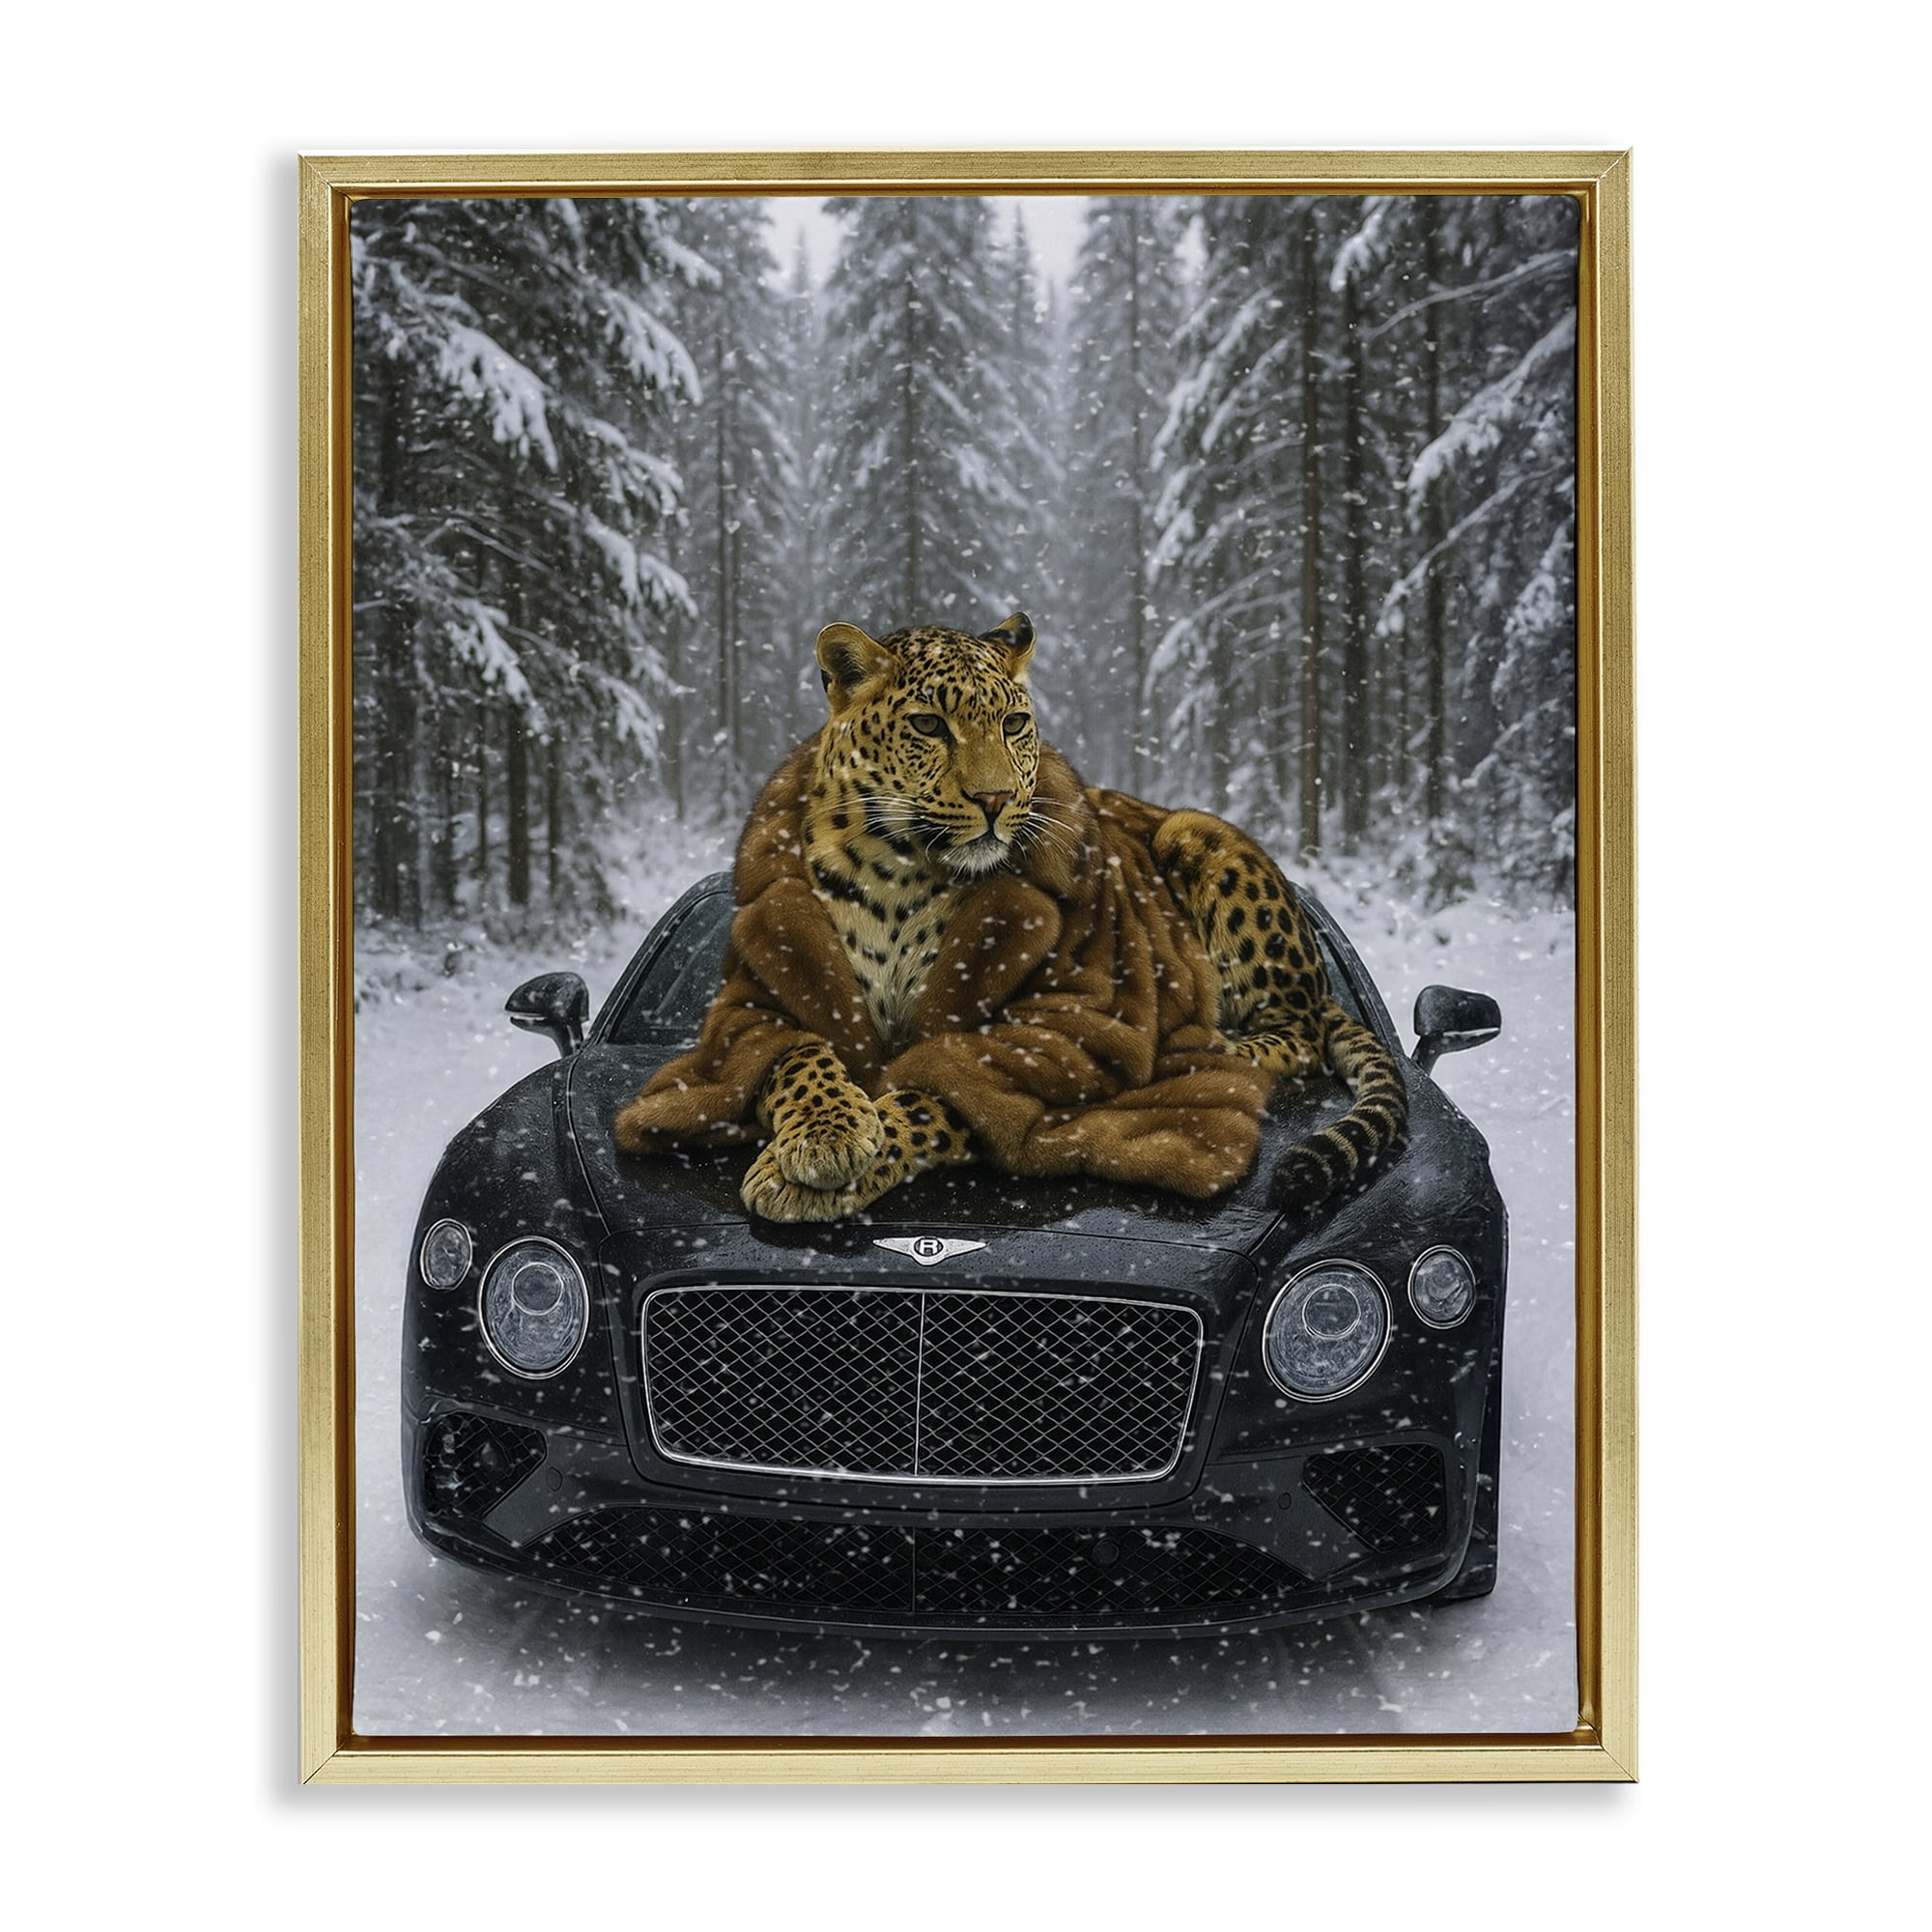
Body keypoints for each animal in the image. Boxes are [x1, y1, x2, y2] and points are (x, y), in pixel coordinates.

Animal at [614, 612, 1407, 1222]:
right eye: (928, 725)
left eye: (1015, 723)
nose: (995, 799)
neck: (899, 870)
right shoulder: (754, 1006)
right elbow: (797, 1056)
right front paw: (827, 1132)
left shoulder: (1055, 1031)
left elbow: (931, 1099)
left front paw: (801, 1172)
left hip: (1202, 842)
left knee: (1296, 1034)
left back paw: (1214, 1046)